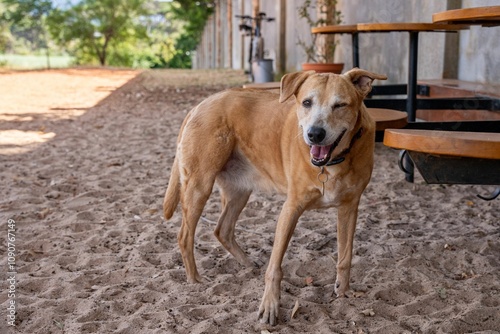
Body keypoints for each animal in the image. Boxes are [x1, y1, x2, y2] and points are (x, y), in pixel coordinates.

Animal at [164, 67, 386, 324]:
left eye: (340, 105)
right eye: (307, 102)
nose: (314, 134)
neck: (332, 163)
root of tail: (200, 104)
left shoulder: (349, 208)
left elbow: (345, 256)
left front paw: (343, 291)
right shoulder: (290, 209)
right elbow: (275, 266)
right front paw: (270, 305)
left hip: (240, 191)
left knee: (222, 230)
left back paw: (247, 262)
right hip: (199, 186)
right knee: (185, 235)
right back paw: (194, 278)